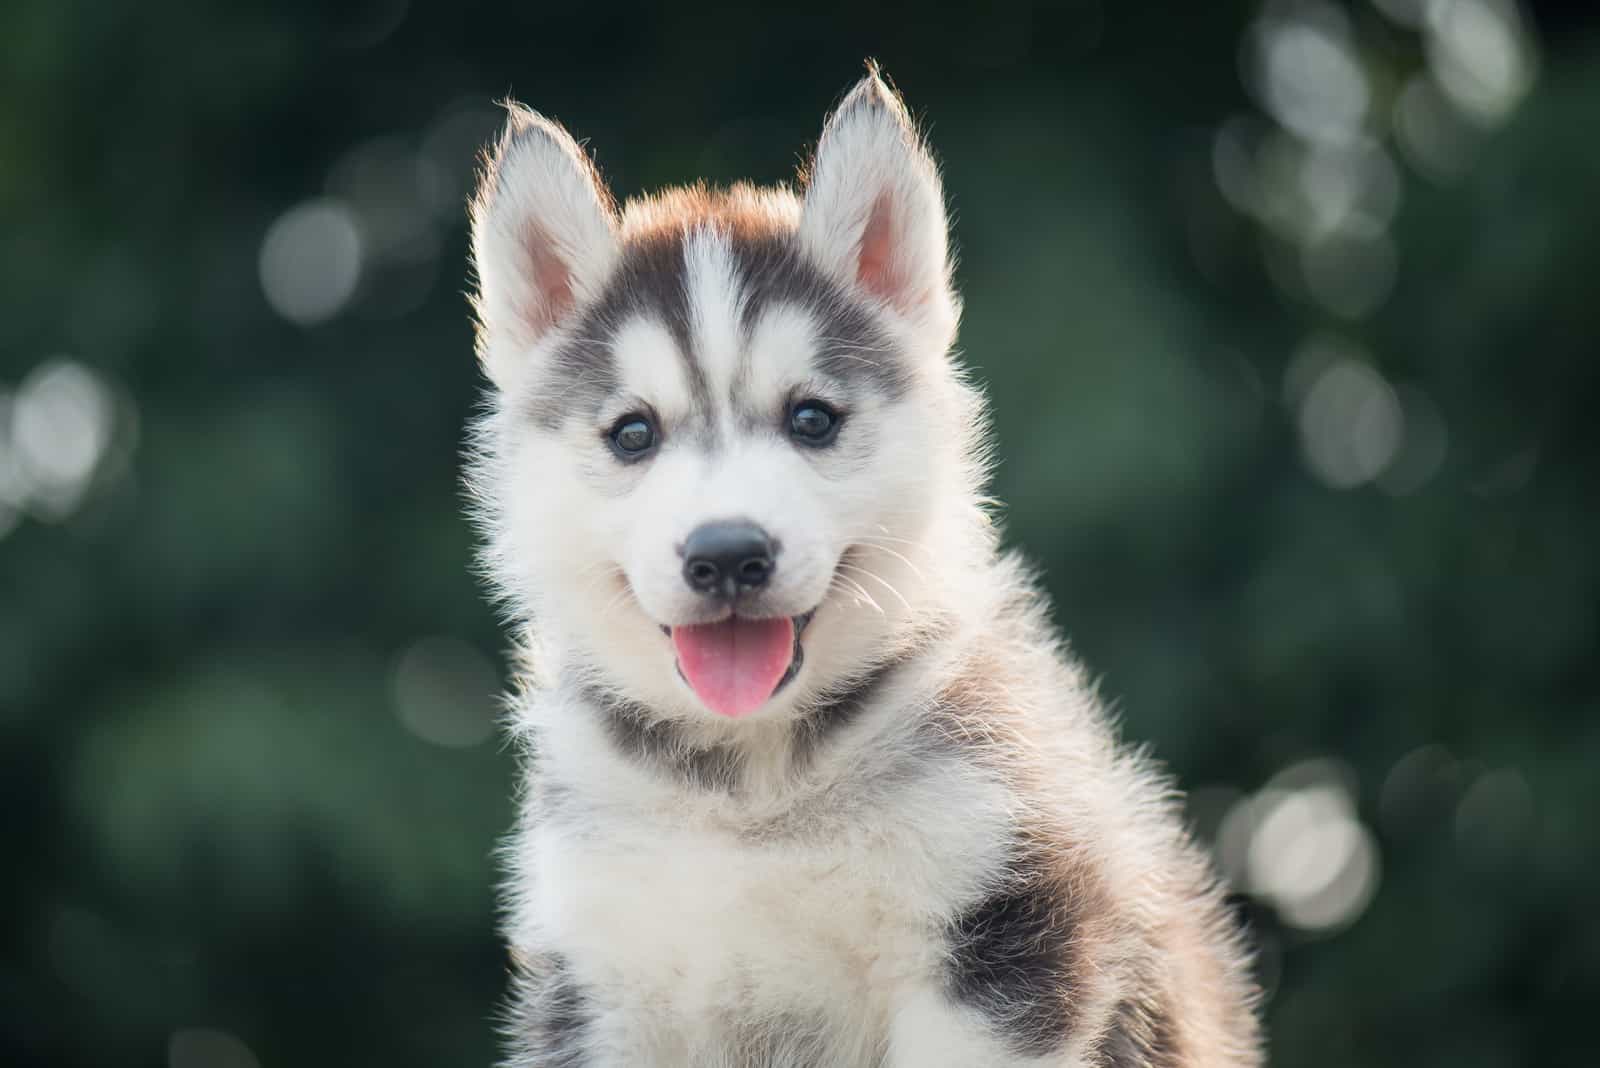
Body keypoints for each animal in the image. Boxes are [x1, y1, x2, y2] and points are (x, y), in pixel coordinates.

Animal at [464, 68, 1260, 1068]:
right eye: (633, 433)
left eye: (812, 419)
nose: (728, 554)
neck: (751, 788)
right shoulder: (601, 977)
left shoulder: (1003, 930)